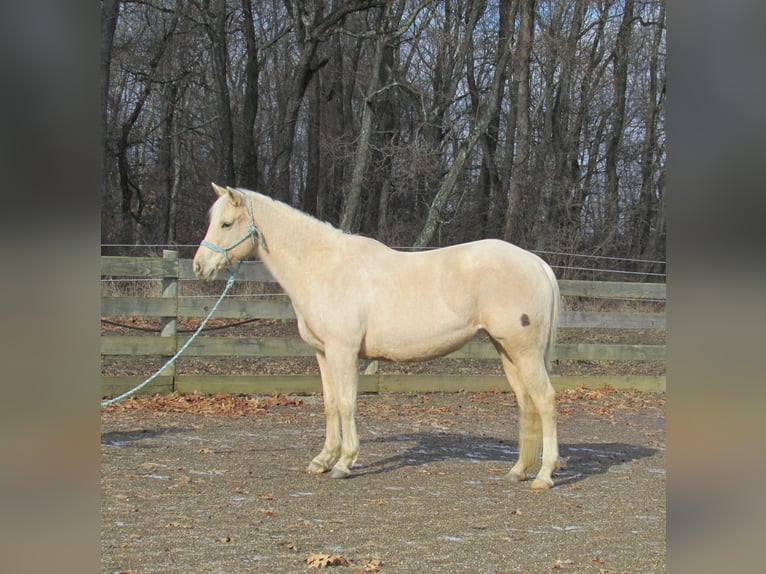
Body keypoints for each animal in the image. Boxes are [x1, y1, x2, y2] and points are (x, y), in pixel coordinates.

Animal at [194, 184, 564, 490]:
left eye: (226, 224)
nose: (200, 267)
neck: (323, 267)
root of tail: (537, 264)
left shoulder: (343, 352)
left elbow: (347, 403)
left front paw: (344, 463)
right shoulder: (323, 353)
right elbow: (330, 404)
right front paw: (322, 460)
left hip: (524, 352)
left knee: (545, 400)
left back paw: (544, 476)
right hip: (507, 351)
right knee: (527, 402)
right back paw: (518, 471)